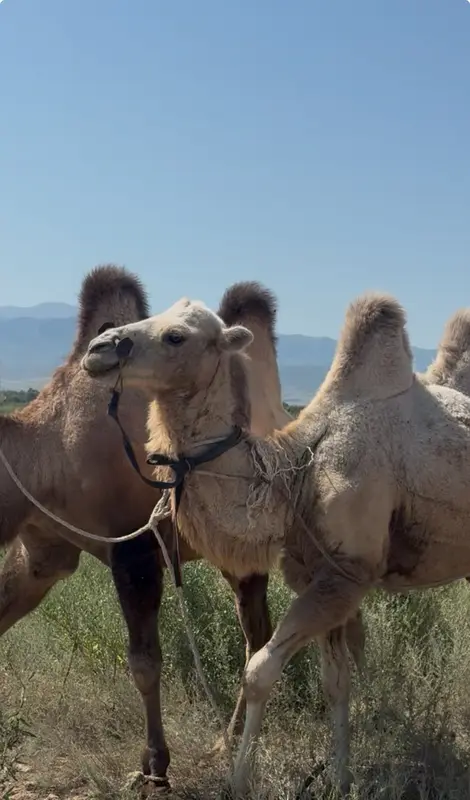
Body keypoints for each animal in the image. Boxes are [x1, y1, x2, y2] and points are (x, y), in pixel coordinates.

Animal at [0, 265, 294, 793]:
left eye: (175, 336)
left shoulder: (134, 547)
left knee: (256, 634)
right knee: (257, 632)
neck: (50, 447)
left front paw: (155, 764)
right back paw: (227, 738)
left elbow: (143, 663)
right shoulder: (44, 552)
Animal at [83, 291, 470, 797]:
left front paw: (238, 777)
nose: (98, 349)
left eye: (176, 336)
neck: (294, 475)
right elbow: (335, 680)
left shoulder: (348, 574)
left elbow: (258, 672)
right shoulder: (318, 574)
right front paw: (339, 778)